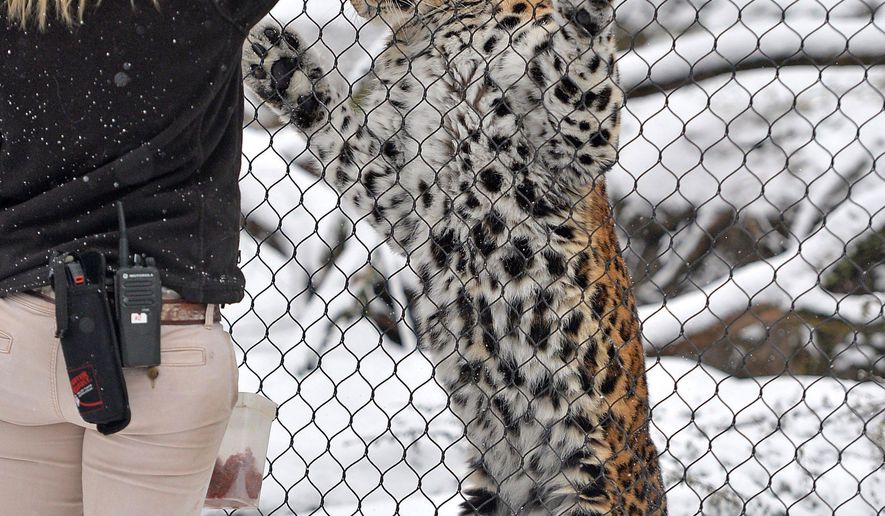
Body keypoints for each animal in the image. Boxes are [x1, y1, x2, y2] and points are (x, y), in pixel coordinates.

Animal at [242, 0, 667, 514]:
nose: (351, 6)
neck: (443, 25)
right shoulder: (397, 186)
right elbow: (335, 132)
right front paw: (281, 69)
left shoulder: (573, 151)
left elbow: (582, 78)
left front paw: (586, 14)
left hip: (595, 481)